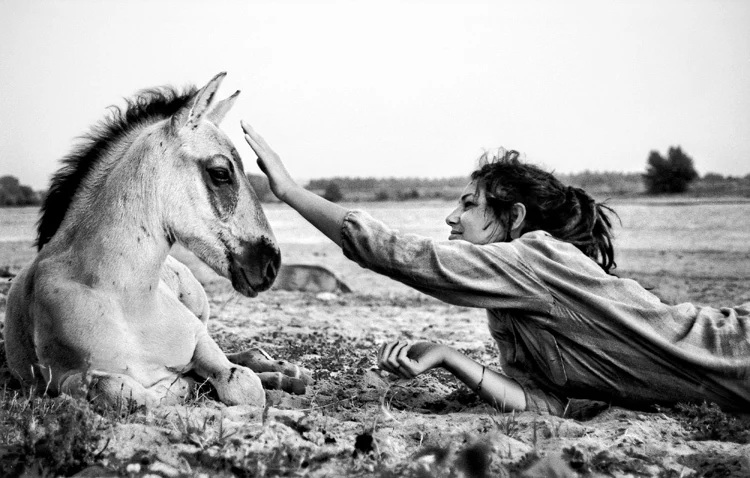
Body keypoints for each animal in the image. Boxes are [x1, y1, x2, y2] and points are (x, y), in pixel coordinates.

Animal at [4, 73, 311, 410]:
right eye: (220, 172)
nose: (270, 265)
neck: (127, 301)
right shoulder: (62, 380)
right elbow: (126, 391)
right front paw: (185, 384)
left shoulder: (199, 339)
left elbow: (242, 383)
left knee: (245, 355)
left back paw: (288, 373)